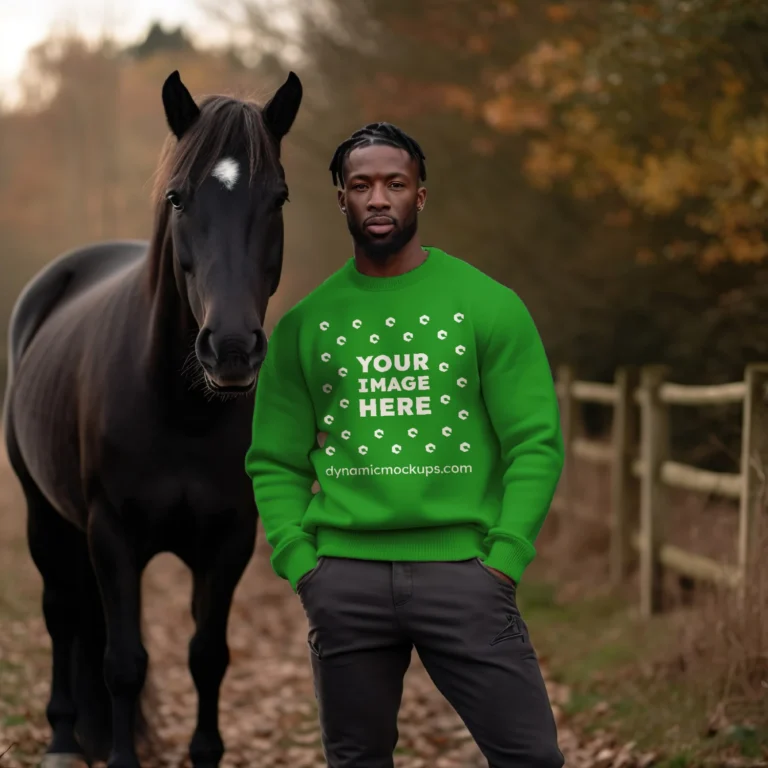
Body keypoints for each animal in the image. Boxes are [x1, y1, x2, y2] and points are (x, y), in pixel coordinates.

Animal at [3, 67, 304, 768]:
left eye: (278, 197)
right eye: (177, 197)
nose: (231, 347)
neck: (180, 410)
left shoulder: (229, 541)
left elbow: (208, 657)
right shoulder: (112, 535)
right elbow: (123, 663)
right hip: (44, 516)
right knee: (62, 613)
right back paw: (63, 740)